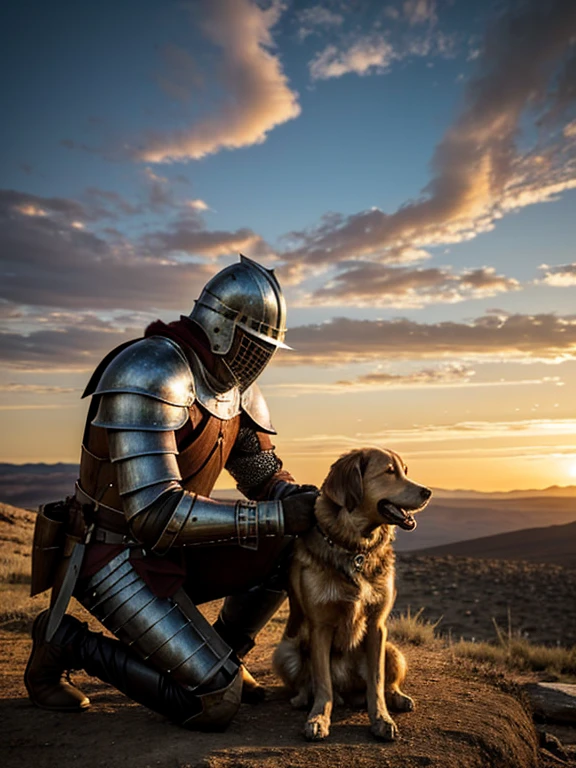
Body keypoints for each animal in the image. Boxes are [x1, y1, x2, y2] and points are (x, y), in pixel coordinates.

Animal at [274, 448, 432, 740]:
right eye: (389, 471)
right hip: (285, 652)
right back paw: (301, 699)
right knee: (307, 683)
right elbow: (323, 684)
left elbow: (377, 683)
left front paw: (381, 718)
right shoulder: (320, 627)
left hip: (393, 650)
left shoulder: (377, 626)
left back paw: (399, 698)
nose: (427, 492)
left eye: (405, 470)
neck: (356, 548)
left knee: (388, 684)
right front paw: (318, 718)